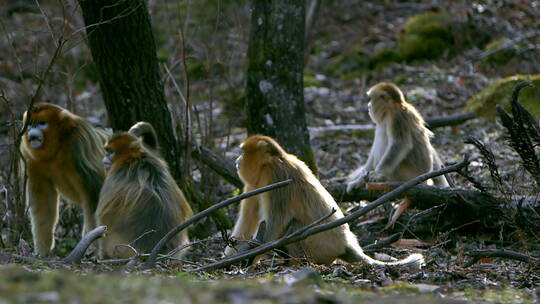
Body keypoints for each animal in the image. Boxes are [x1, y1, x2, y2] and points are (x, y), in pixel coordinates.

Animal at [20, 102, 108, 256]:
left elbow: (95, 199)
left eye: (42, 123)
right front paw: (42, 251)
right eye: (30, 124)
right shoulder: (29, 156)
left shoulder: (80, 141)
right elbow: (42, 203)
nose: (32, 132)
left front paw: (93, 250)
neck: (59, 145)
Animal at [224, 135, 422, 266]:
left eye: (243, 152)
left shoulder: (276, 177)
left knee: (294, 228)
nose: (237, 159)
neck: (270, 162)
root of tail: (345, 244)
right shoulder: (255, 185)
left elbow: (274, 224)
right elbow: (248, 221)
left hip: (321, 247)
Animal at [348, 82, 450, 227]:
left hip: (406, 174)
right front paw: (360, 180)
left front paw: (378, 175)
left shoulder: (396, 117)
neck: (394, 106)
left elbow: (400, 144)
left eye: (370, 99)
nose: (368, 106)